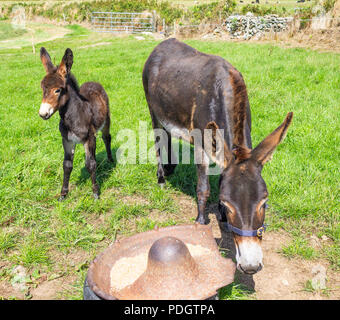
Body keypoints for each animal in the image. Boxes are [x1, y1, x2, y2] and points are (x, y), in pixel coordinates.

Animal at [38, 47, 113, 200]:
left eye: (58, 90)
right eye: (42, 88)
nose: (43, 114)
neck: (73, 117)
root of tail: (92, 82)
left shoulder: (88, 138)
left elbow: (90, 164)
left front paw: (95, 193)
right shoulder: (67, 140)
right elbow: (67, 165)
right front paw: (63, 194)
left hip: (106, 120)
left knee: (106, 138)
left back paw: (110, 160)